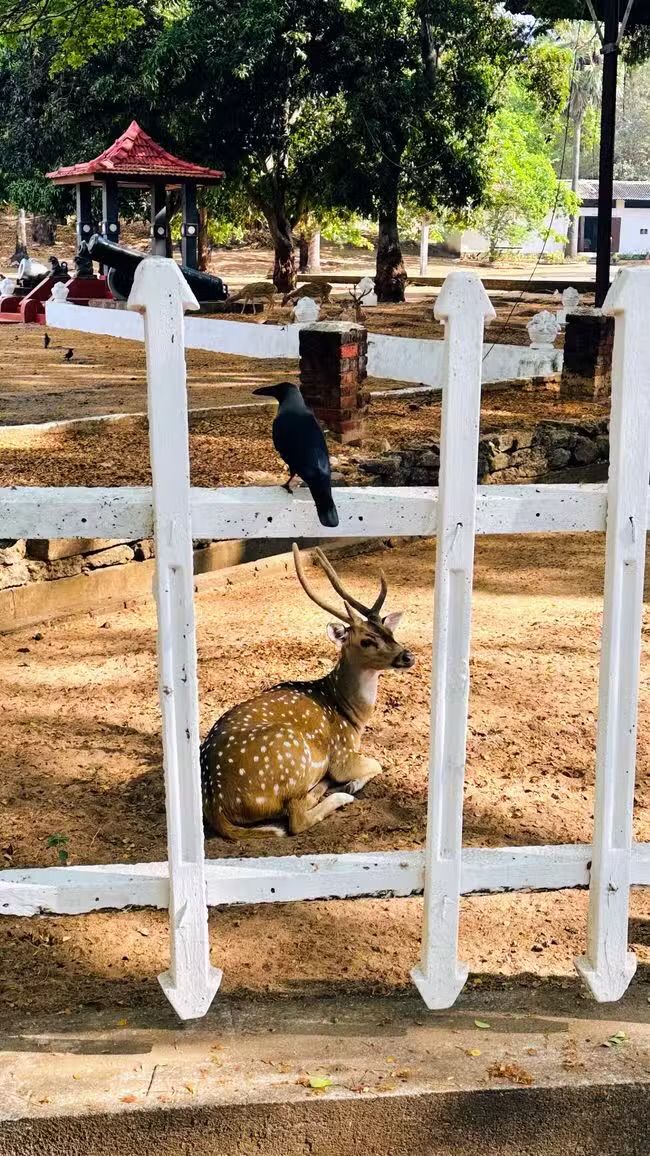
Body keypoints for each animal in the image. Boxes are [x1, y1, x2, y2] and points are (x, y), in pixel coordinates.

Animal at [200, 545, 415, 840]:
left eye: (389, 631)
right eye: (366, 640)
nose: (408, 656)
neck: (351, 716)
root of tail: (215, 804)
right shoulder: (342, 754)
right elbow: (378, 764)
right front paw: (351, 784)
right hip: (290, 754)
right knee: (295, 819)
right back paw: (338, 795)